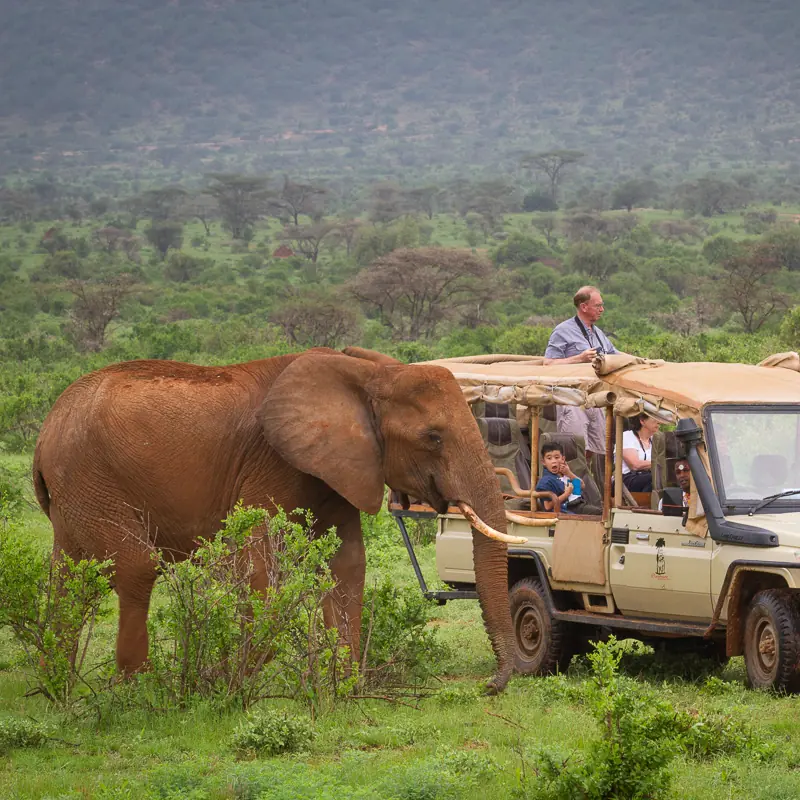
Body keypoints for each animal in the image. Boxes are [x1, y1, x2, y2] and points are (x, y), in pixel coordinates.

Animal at [32, 346, 516, 692]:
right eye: (433, 437)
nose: (489, 686)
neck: (368, 374)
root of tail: (47, 426)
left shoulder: (338, 467)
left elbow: (347, 564)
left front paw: (344, 685)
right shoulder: (273, 463)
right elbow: (258, 560)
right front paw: (227, 680)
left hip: (76, 491)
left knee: (67, 574)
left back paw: (58, 683)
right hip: (89, 474)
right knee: (136, 566)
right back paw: (137, 689)